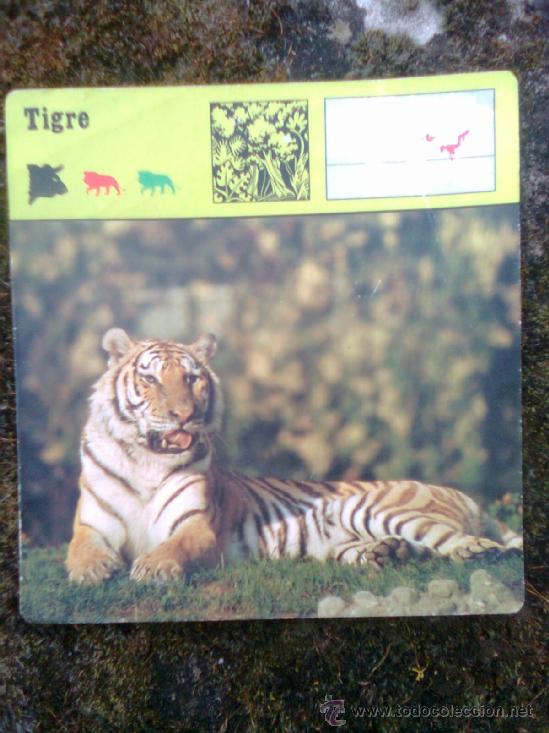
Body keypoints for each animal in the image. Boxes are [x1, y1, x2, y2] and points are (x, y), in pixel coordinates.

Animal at [66, 329, 523, 584]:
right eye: (151, 378)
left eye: (193, 379)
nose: (185, 414)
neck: (147, 460)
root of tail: (463, 496)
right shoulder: (92, 525)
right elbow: (81, 549)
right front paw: (91, 571)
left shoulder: (196, 526)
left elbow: (175, 547)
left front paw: (153, 568)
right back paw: (387, 554)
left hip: (377, 509)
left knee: (464, 542)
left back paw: (480, 552)